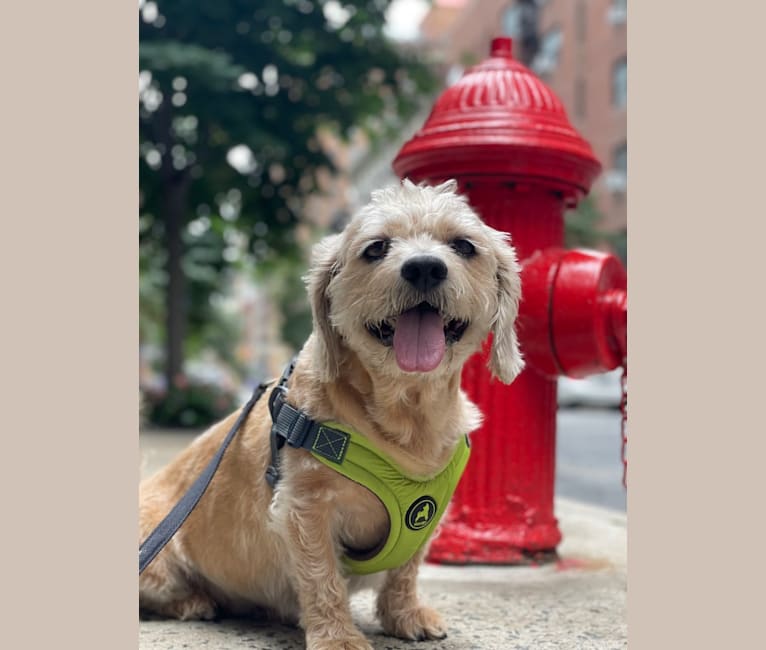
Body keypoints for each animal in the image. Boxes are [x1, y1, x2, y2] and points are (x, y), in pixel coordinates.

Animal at [138, 178, 524, 648]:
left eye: (463, 245)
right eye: (376, 248)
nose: (424, 268)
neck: (406, 415)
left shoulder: (428, 516)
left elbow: (406, 570)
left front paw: (404, 614)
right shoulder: (306, 508)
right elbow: (321, 576)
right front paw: (337, 635)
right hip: (158, 559)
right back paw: (196, 602)